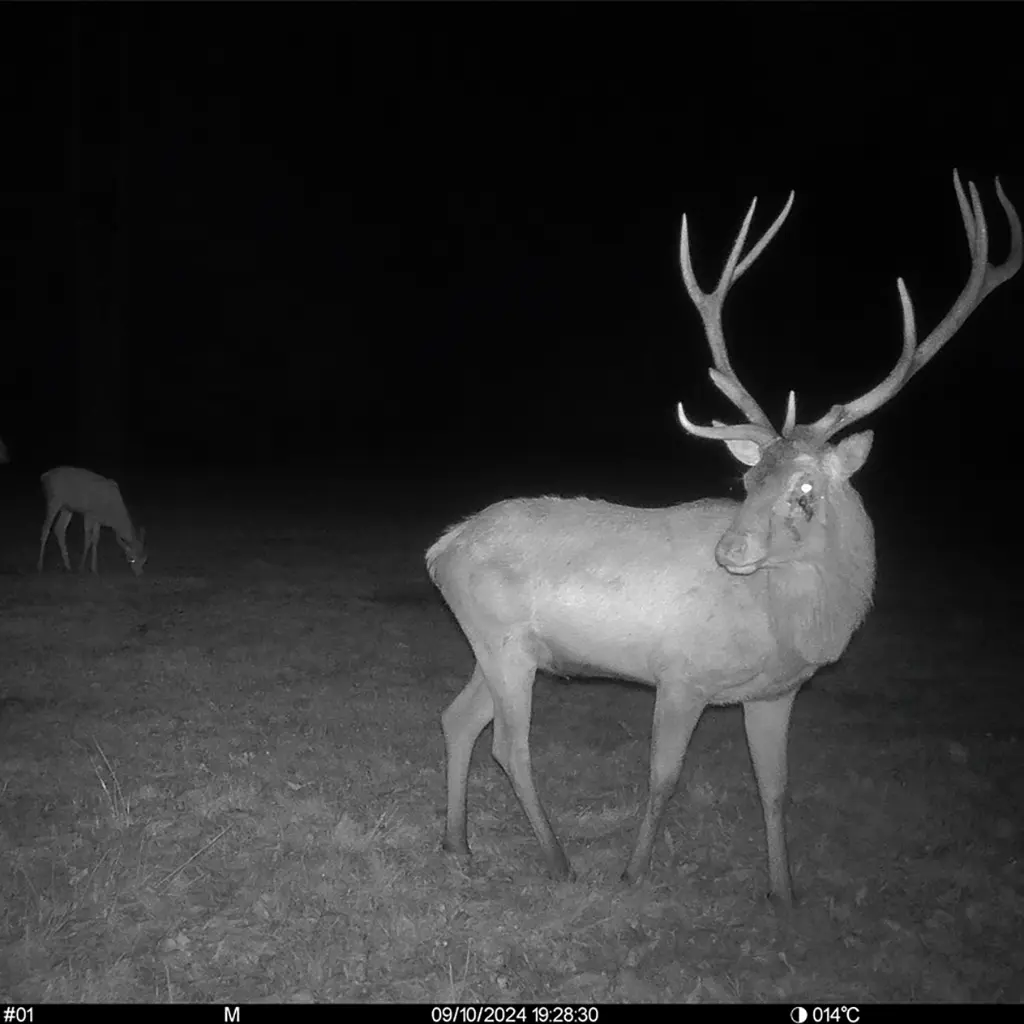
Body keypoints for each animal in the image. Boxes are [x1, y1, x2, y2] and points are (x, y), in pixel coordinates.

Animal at [426, 172, 1021, 904]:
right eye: (747, 480)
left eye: (805, 490)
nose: (730, 552)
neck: (787, 629)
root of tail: (441, 548)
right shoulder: (680, 673)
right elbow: (663, 777)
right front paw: (633, 873)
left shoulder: (777, 693)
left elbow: (776, 788)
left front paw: (784, 894)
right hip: (503, 640)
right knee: (509, 745)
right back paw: (559, 861)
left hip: (507, 648)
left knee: (459, 718)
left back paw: (458, 843)